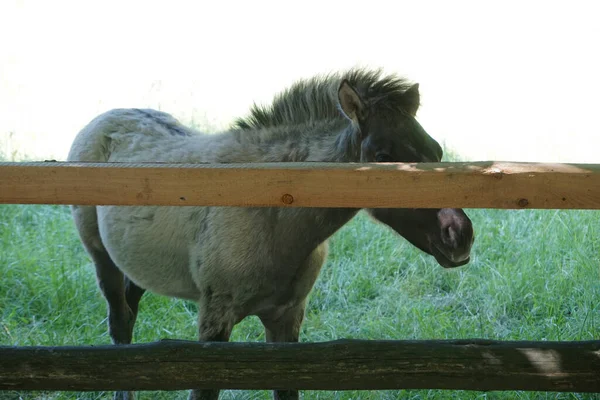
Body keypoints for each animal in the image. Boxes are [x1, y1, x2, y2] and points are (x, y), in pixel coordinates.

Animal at [68, 69, 476, 400]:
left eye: (437, 150)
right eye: (381, 154)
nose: (458, 235)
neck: (272, 213)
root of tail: (104, 118)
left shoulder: (287, 318)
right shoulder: (214, 321)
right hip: (101, 258)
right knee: (120, 324)